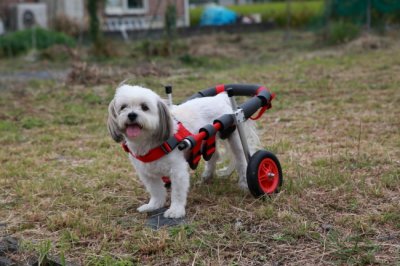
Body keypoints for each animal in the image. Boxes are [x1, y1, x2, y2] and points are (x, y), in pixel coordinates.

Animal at [107, 84, 256, 218]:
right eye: (123, 107)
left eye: (144, 107)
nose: (131, 115)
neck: (148, 143)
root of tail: (219, 98)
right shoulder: (146, 173)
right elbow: (156, 191)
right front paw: (154, 205)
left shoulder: (177, 170)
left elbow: (177, 193)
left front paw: (175, 211)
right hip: (207, 137)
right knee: (213, 156)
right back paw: (207, 176)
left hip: (233, 134)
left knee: (241, 159)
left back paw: (244, 183)